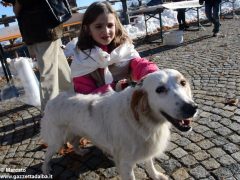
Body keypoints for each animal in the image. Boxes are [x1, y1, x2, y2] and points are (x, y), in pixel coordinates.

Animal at [41, 69, 198, 180]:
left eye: (183, 83)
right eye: (160, 90)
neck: (143, 122)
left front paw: (156, 175)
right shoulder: (125, 163)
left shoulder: (147, 148)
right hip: (56, 140)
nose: (192, 107)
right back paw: (45, 170)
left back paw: (80, 152)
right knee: (47, 155)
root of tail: (53, 100)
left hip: (77, 131)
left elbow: (150, 164)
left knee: (74, 142)